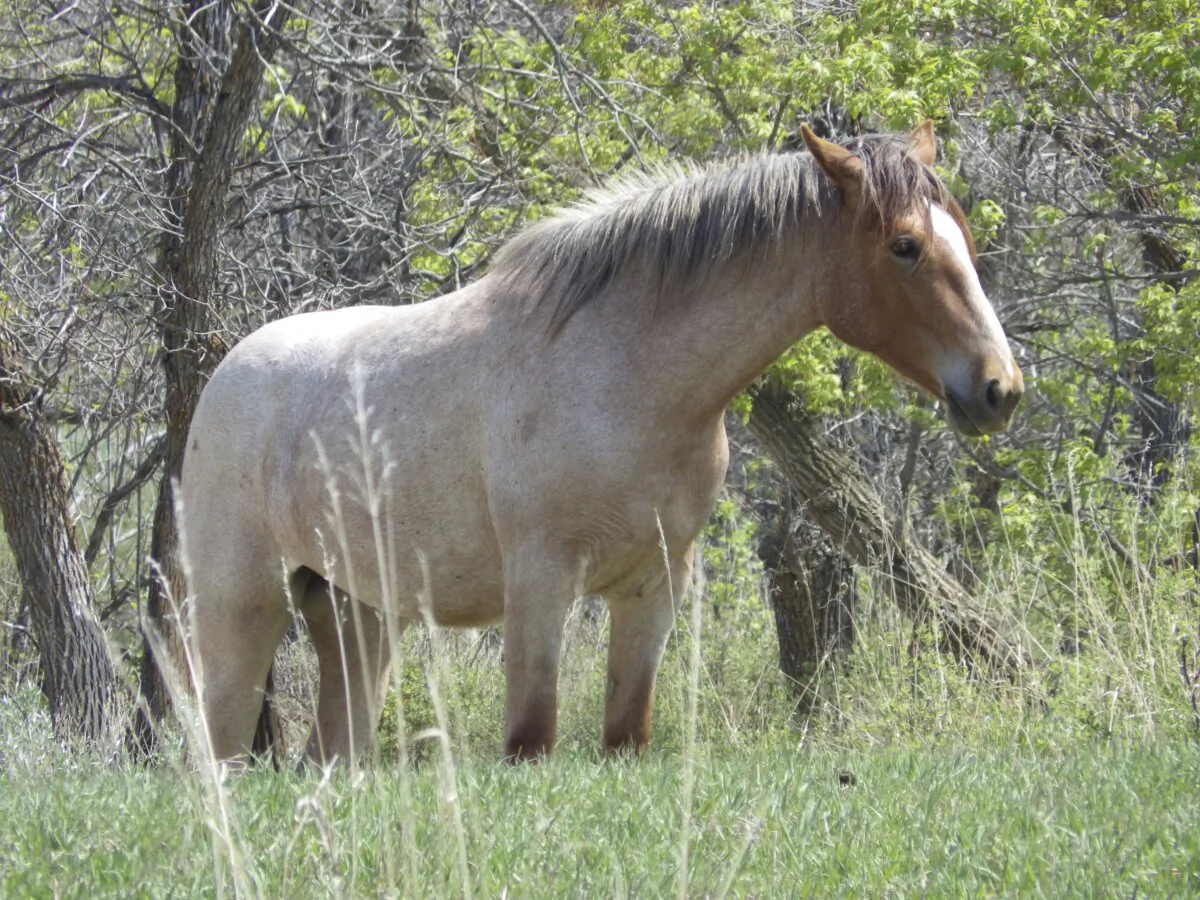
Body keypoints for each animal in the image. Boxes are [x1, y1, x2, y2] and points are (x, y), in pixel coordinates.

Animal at [179, 123, 1023, 765]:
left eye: (963, 238)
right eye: (906, 246)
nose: (999, 388)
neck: (629, 376)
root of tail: (227, 373)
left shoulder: (653, 587)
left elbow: (625, 737)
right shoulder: (542, 583)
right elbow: (531, 740)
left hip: (358, 620)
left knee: (330, 755)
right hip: (240, 613)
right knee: (222, 753)